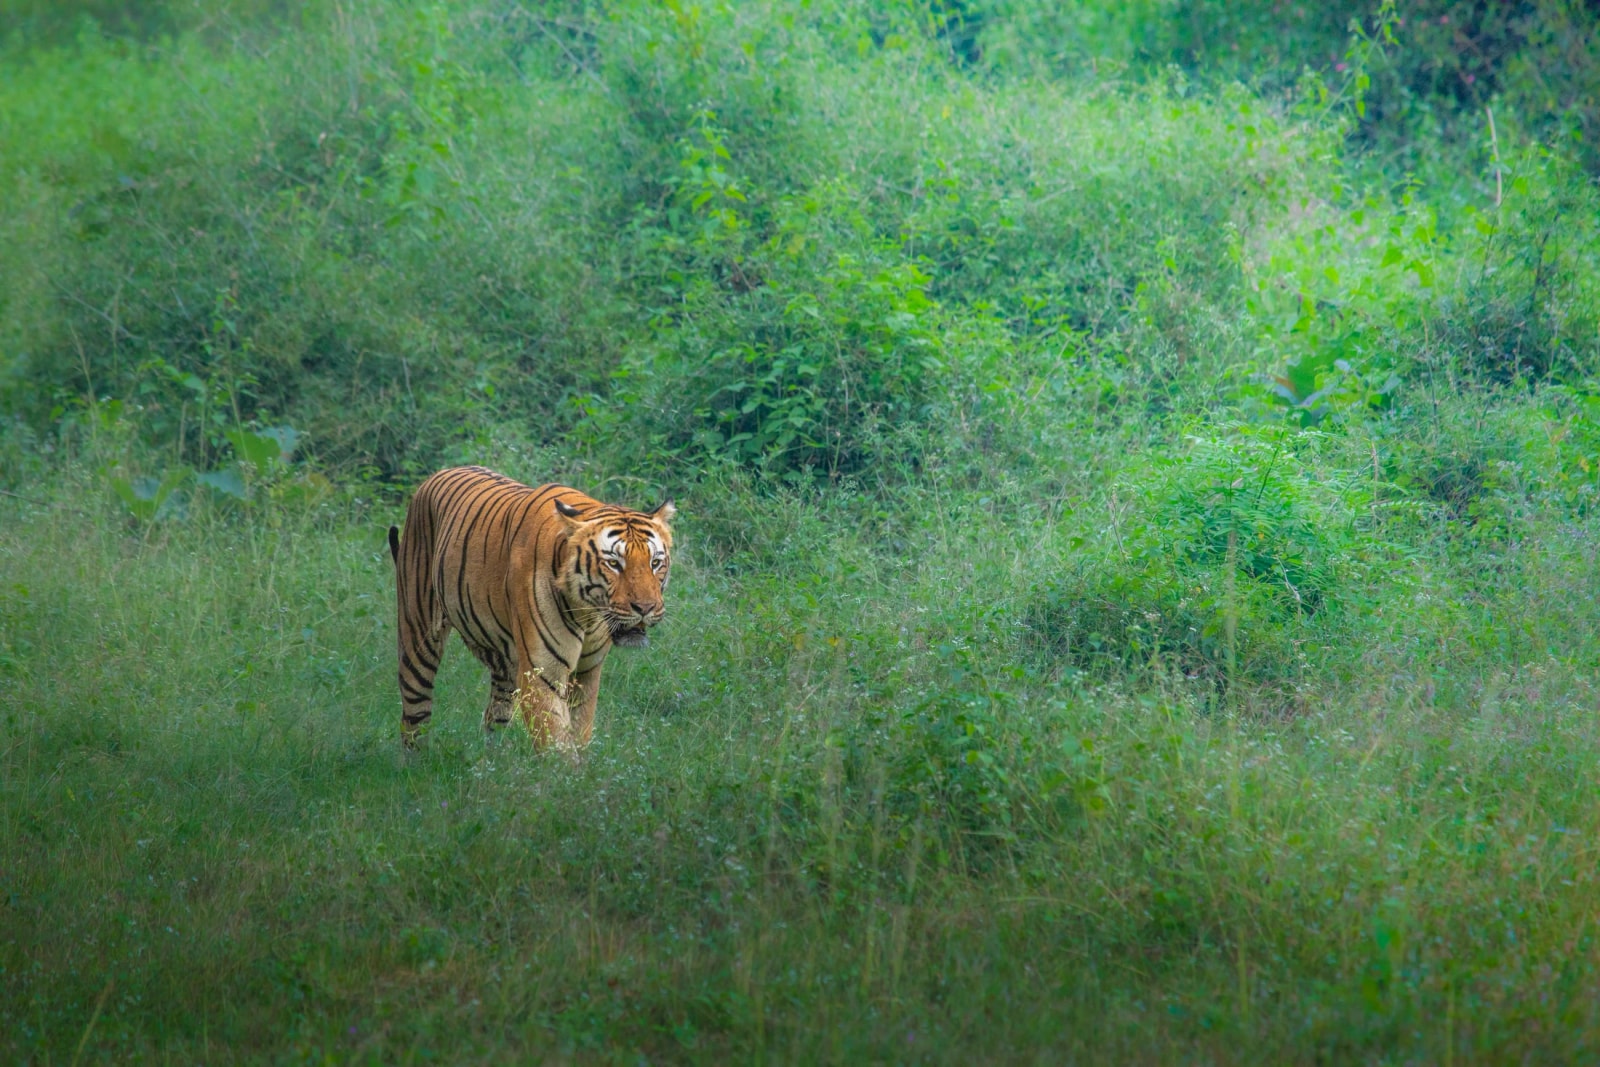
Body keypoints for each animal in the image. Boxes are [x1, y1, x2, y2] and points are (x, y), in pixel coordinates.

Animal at [387, 466, 675, 751]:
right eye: (614, 563)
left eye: (655, 562)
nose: (645, 607)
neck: (588, 614)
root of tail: (438, 474)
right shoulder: (543, 672)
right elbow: (556, 744)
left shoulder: (587, 674)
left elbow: (579, 733)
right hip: (417, 632)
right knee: (415, 713)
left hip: (503, 663)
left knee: (495, 717)